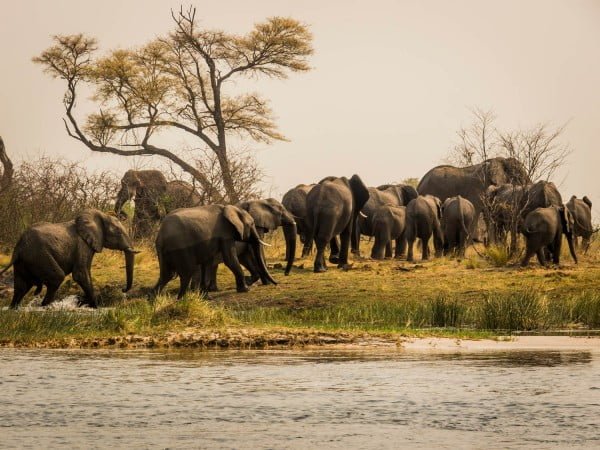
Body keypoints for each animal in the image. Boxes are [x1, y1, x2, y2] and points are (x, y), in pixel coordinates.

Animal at [0, 209, 138, 308]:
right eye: (119, 233)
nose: (123, 289)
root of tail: (18, 247)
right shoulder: (83, 244)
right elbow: (80, 274)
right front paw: (95, 308)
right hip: (38, 255)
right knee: (56, 277)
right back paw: (44, 307)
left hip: (24, 261)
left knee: (22, 286)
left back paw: (14, 308)